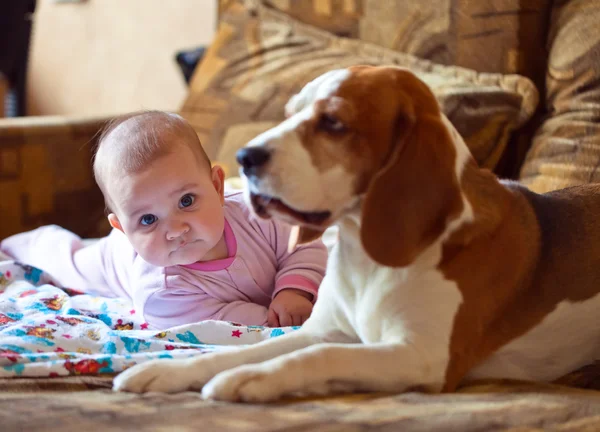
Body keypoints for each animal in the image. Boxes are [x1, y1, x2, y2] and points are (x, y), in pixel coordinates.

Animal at [112, 65, 600, 402]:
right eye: (289, 114)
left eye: (333, 122)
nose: (244, 157)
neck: (362, 255)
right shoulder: (322, 329)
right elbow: (243, 349)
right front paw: (168, 370)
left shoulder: (422, 357)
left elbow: (319, 357)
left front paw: (250, 379)